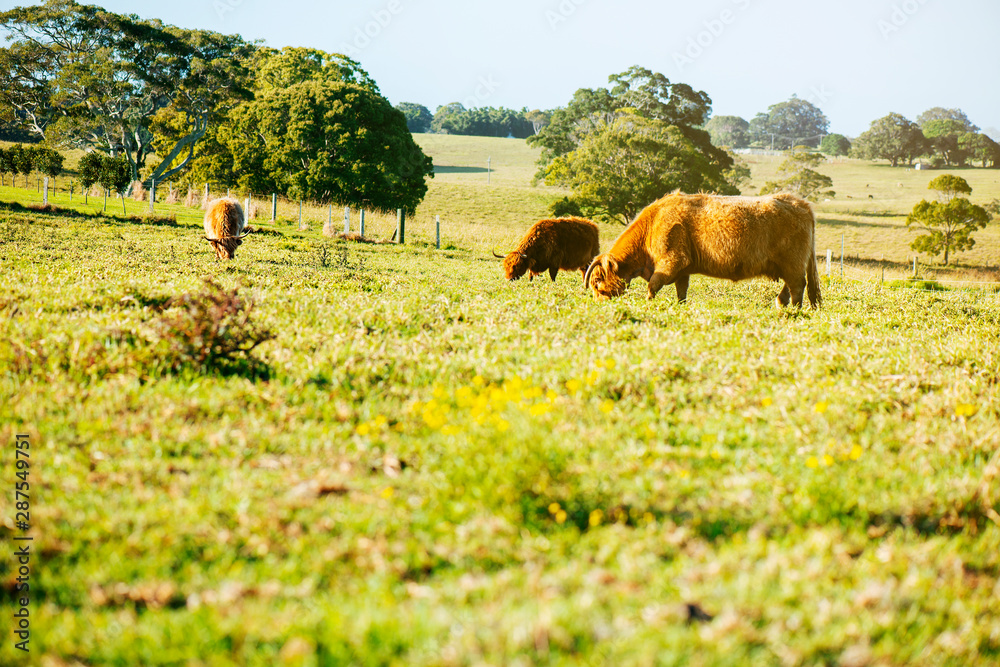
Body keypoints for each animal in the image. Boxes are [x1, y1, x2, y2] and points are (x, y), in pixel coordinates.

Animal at [580, 192, 820, 310]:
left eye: (597, 281)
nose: (598, 304)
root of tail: (800, 203)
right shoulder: (683, 269)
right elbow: (681, 291)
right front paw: (680, 307)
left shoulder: (672, 260)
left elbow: (653, 285)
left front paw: (648, 303)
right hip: (788, 266)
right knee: (791, 287)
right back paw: (781, 305)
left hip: (793, 263)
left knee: (798, 287)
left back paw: (794, 311)